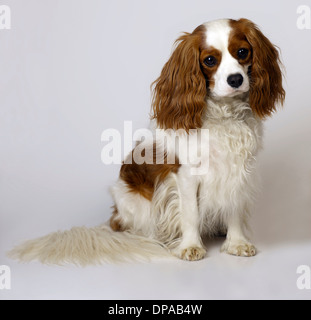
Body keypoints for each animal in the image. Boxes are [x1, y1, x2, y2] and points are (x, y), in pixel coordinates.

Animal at [9, 18, 286, 264]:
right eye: (209, 60)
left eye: (242, 52)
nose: (235, 79)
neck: (224, 115)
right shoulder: (186, 176)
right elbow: (190, 213)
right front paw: (190, 246)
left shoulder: (239, 170)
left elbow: (234, 208)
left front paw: (236, 242)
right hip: (136, 206)